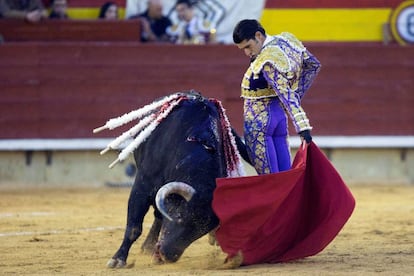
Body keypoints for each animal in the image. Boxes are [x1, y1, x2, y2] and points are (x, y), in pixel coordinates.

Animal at [94, 91, 249, 268]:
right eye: (179, 217)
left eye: (201, 232)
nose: (168, 256)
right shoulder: (142, 186)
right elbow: (134, 227)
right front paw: (118, 259)